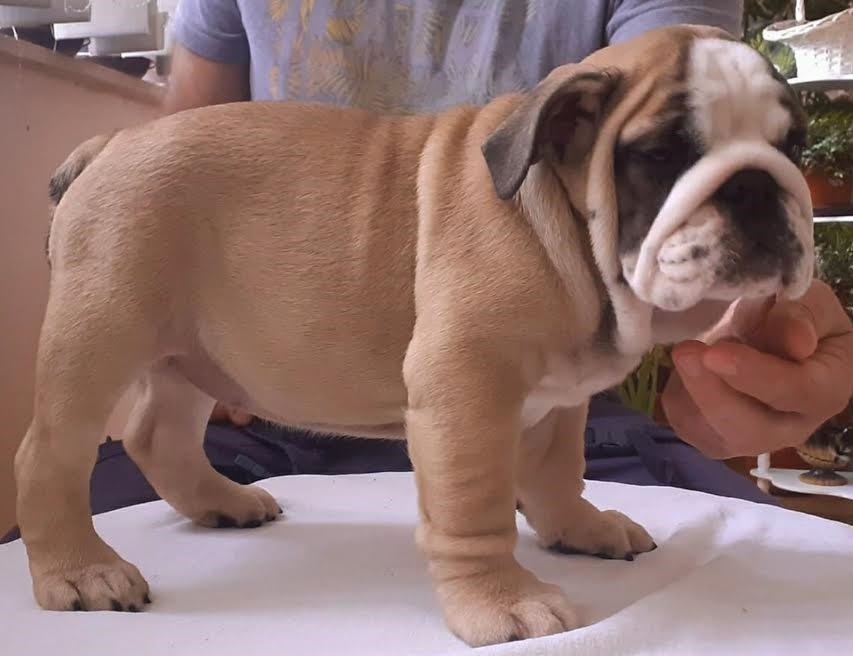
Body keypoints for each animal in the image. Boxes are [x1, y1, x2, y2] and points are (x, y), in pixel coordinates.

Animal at [15, 24, 812, 647]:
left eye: (793, 145)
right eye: (661, 155)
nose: (756, 184)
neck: (561, 228)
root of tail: (110, 142)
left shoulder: (558, 403)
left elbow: (557, 473)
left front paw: (577, 529)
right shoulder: (468, 391)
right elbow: (476, 509)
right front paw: (502, 602)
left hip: (186, 353)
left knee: (161, 435)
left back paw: (223, 502)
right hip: (101, 332)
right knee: (49, 456)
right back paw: (82, 571)